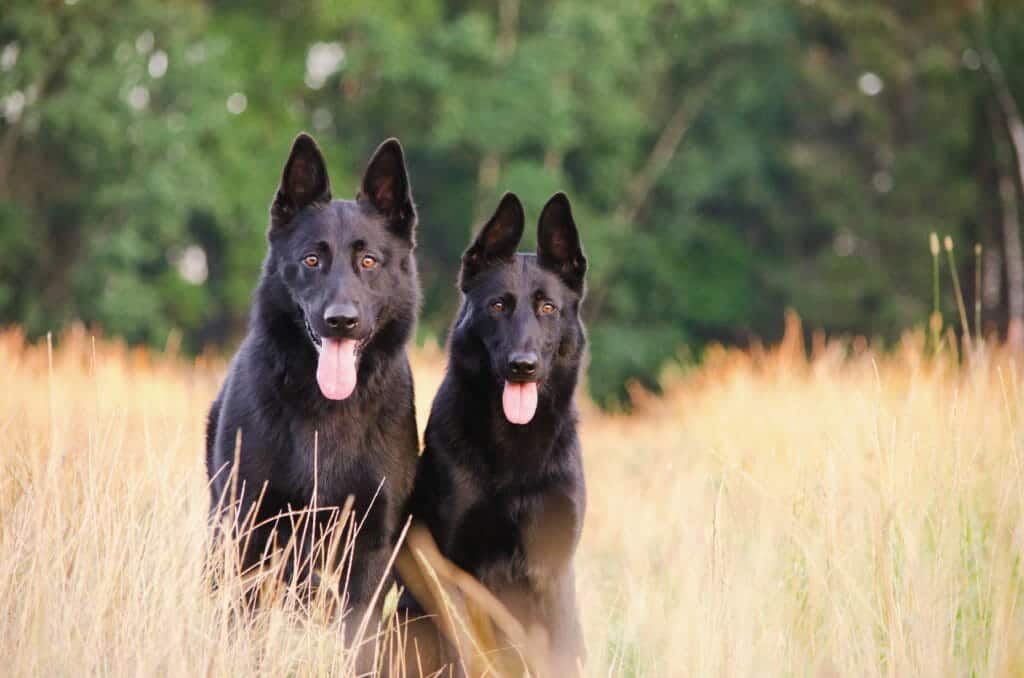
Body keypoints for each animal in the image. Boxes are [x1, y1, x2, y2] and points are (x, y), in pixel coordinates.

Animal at [206, 130, 419, 618]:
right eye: (310, 260)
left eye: (369, 262)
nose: (340, 320)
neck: (328, 411)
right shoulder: (248, 529)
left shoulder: (372, 546)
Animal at [405, 189, 589, 675]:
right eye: (498, 306)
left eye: (548, 308)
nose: (522, 366)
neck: (515, 454)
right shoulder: (457, 568)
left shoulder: (552, 571)